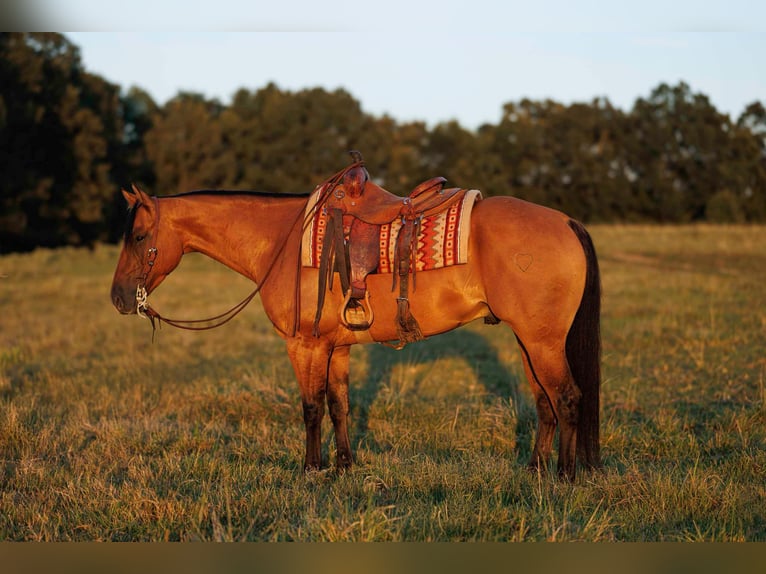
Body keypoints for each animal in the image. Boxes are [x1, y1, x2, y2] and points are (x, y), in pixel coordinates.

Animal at [110, 171, 601, 481]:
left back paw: (565, 476)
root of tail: (566, 221)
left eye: (138, 237)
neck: (283, 239)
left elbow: (310, 407)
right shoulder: (337, 346)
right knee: (544, 402)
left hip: (542, 342)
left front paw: (311, 469)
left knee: (568, 398)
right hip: (528, 341)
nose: (118, 297)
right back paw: (535, 469)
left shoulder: (304, 345)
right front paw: (344, 465)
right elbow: (339, 405)